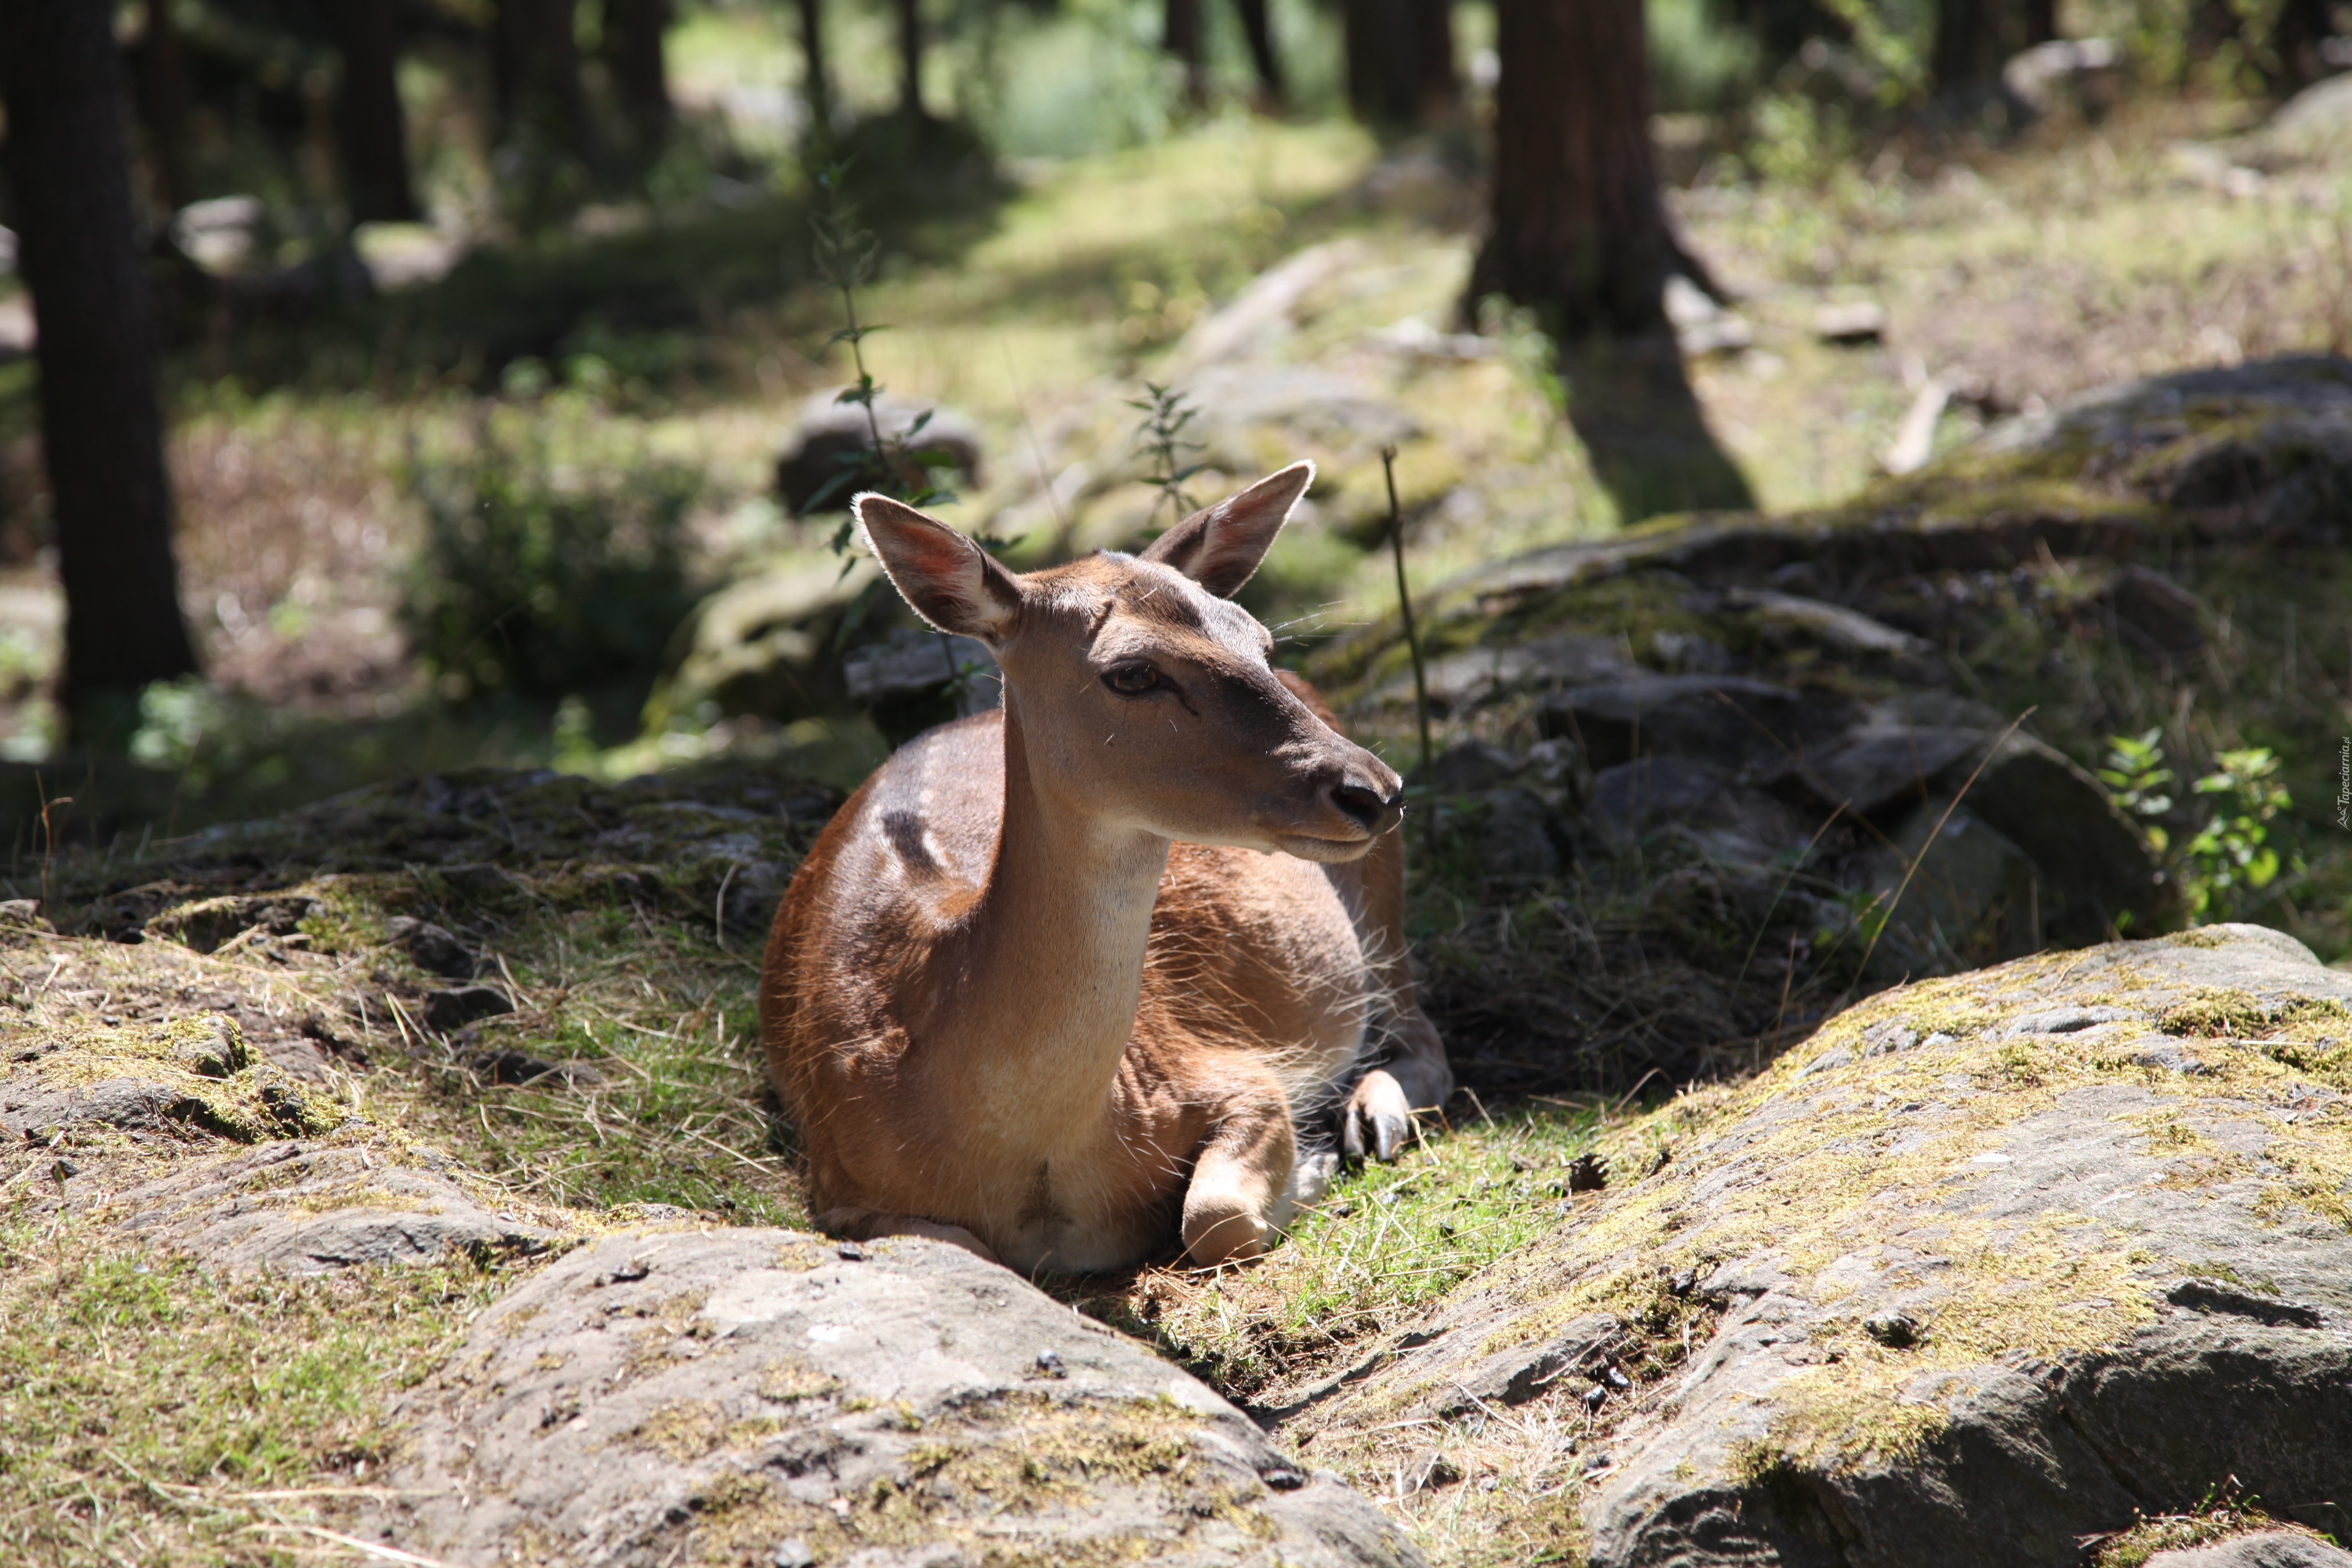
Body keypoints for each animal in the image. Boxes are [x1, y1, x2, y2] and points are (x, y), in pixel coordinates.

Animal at [757, 465, 1449, 1279]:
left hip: (1383, 908)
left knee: (1422, 1032)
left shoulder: (1227, 1071)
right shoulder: (838, 1180)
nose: (1374, 789)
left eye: (1263, 641)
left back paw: (1371, 1117)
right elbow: (956, 1246)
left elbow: (1213, 1218)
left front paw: (1311, 1165)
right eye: (1133, 672)